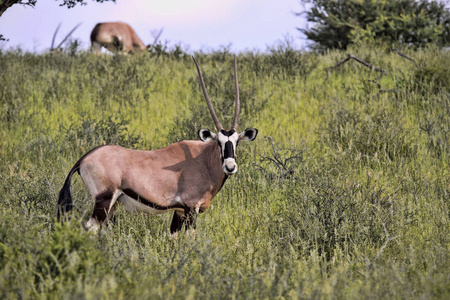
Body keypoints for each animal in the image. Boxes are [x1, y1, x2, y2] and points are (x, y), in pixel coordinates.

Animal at [58, 56, 258, 234]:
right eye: (219, 142)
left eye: (236, 142)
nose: (230, 166)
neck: (203, 160)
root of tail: (84, 159)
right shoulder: (191, 208)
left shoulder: (179, 211)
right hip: (103, 200)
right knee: (91, 228)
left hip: (112, 205)